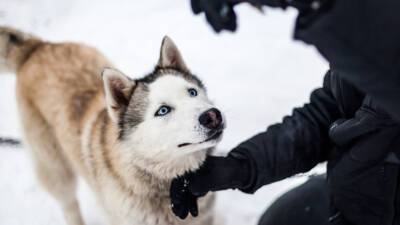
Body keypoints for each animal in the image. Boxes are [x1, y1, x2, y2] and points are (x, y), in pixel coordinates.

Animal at [0, 26, 225, 225]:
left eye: (192, 92)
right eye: (163, 110)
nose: (212, 116)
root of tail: (37, 48)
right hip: (57, 171)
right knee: (69, 205)